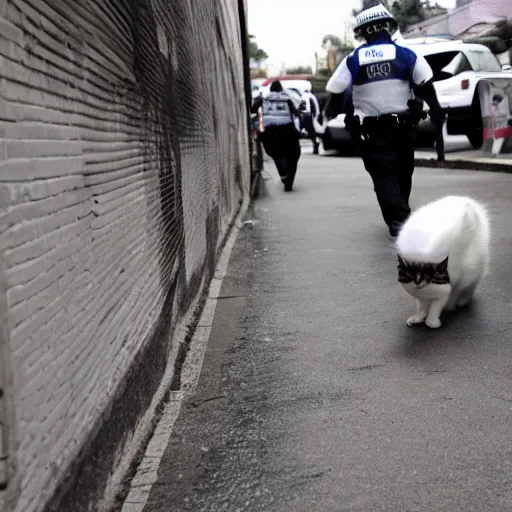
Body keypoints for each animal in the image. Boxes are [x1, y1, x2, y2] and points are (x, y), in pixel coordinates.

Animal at [394, 194, 490, 330]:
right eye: (410, 274)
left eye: (430, 275)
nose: (418, 282)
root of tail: (465, 199)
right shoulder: (422, 297)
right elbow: (422, 308)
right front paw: (418, 318)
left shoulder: (444, 293)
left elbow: (436, 308)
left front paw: (433, 322)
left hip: (473, 271)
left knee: (469, 286)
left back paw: (461, 302)